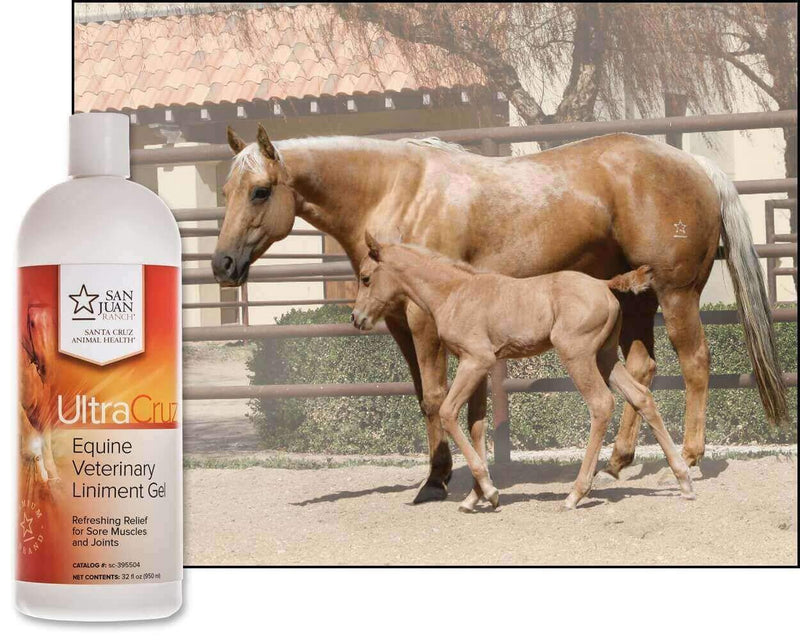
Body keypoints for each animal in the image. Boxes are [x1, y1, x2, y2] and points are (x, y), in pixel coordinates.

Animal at [352, 235, 695, 511]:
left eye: (366, 277)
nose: (356, 318)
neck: (454, 292)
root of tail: (603, 284)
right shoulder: (479, 365)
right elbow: (476, 425)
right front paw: (475, 497)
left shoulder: (475, 360)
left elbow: (448, 413)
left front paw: (489, 492)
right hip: (605, 357)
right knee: (642, 396)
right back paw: (683, 480)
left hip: (578, 355)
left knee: (601, 404)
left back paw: (576, 493)